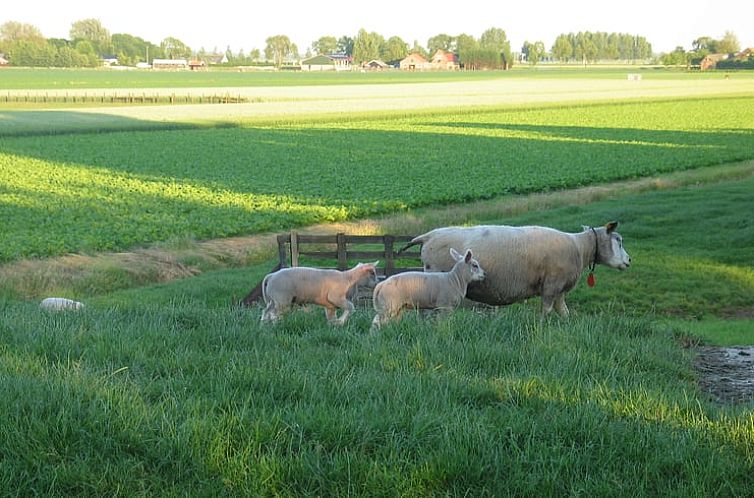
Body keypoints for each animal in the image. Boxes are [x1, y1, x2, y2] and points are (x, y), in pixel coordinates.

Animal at [406, 222, 628, 316]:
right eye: (618, 240)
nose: (629, 260)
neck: (579, 247)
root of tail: (428, 236)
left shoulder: (559, 289)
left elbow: (563, 311)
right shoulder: (551, 285)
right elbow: (546, 311)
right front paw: (542, 330)